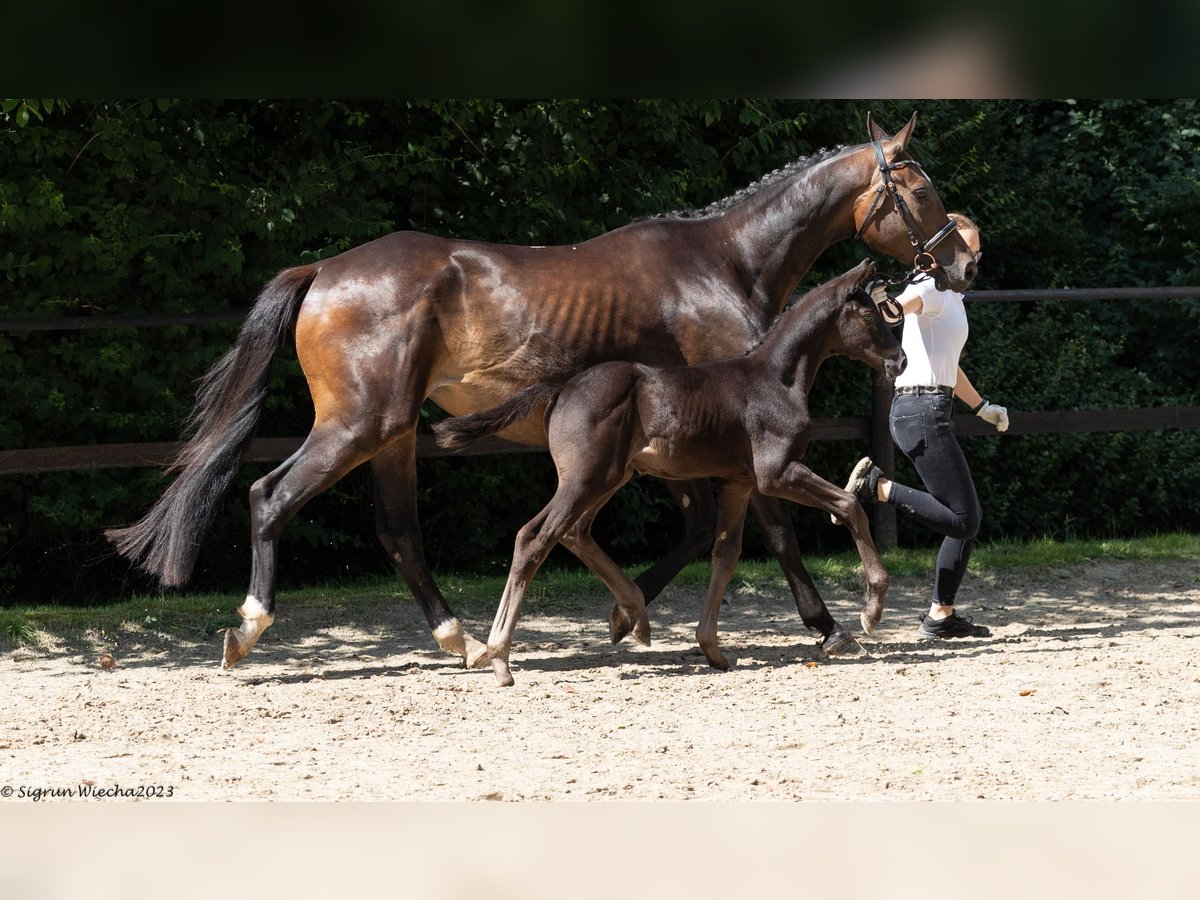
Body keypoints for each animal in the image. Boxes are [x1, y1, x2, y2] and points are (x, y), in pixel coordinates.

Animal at [436, 256, 902, 686]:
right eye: (868, 314)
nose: (899, 359)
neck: (775, 380)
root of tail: (562, 387)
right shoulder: (778, 472)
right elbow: (848, 505)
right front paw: (872, 610)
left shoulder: (739, 483)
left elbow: (726, 553)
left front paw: (712, 648)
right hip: (586, 479)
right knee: (534, 537)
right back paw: (500, 658)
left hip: (609, 477)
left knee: (574, 532)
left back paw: (635, 616)